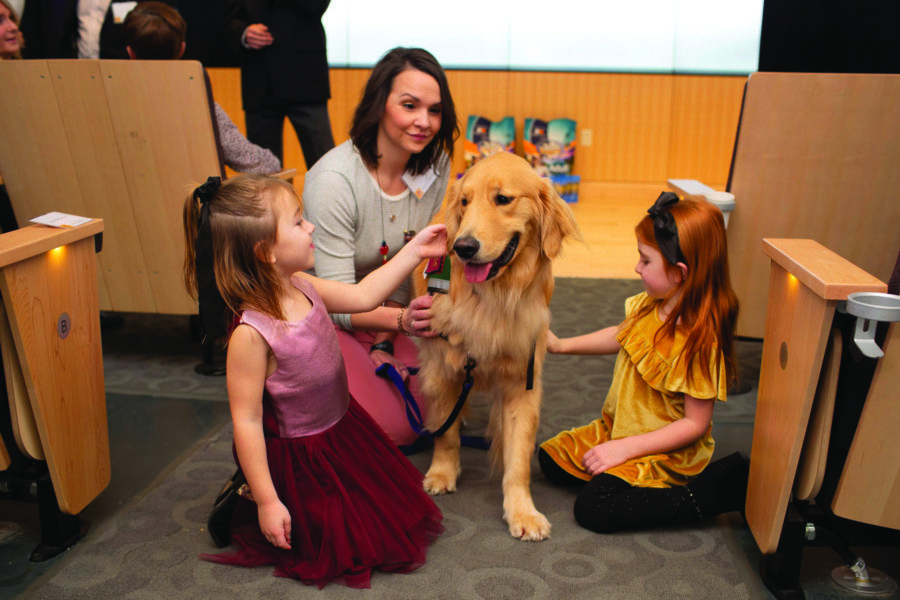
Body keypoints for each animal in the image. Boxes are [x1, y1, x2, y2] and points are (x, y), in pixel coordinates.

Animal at [414, 150, 576, 540]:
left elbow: (518, 458)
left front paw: (522, 511)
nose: (463, 247)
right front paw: (442, 473)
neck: (494, 297)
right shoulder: (444, 368)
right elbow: (446, 432)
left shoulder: (522, 381)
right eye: (464, 202)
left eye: (503, 199)